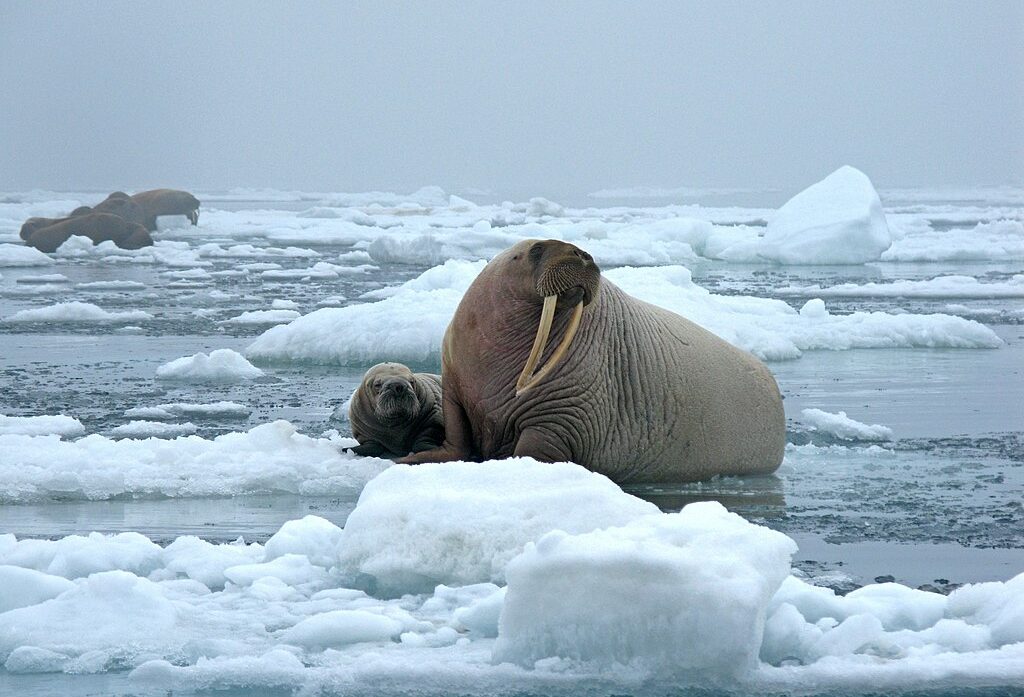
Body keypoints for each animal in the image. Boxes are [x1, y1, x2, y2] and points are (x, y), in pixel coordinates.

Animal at [403, 239, 786, 483]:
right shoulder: (455, 383)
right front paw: (410, 459)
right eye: (536, 249)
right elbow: (457, 436)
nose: (583, 255)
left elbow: (536, 448)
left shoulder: (564, 413)